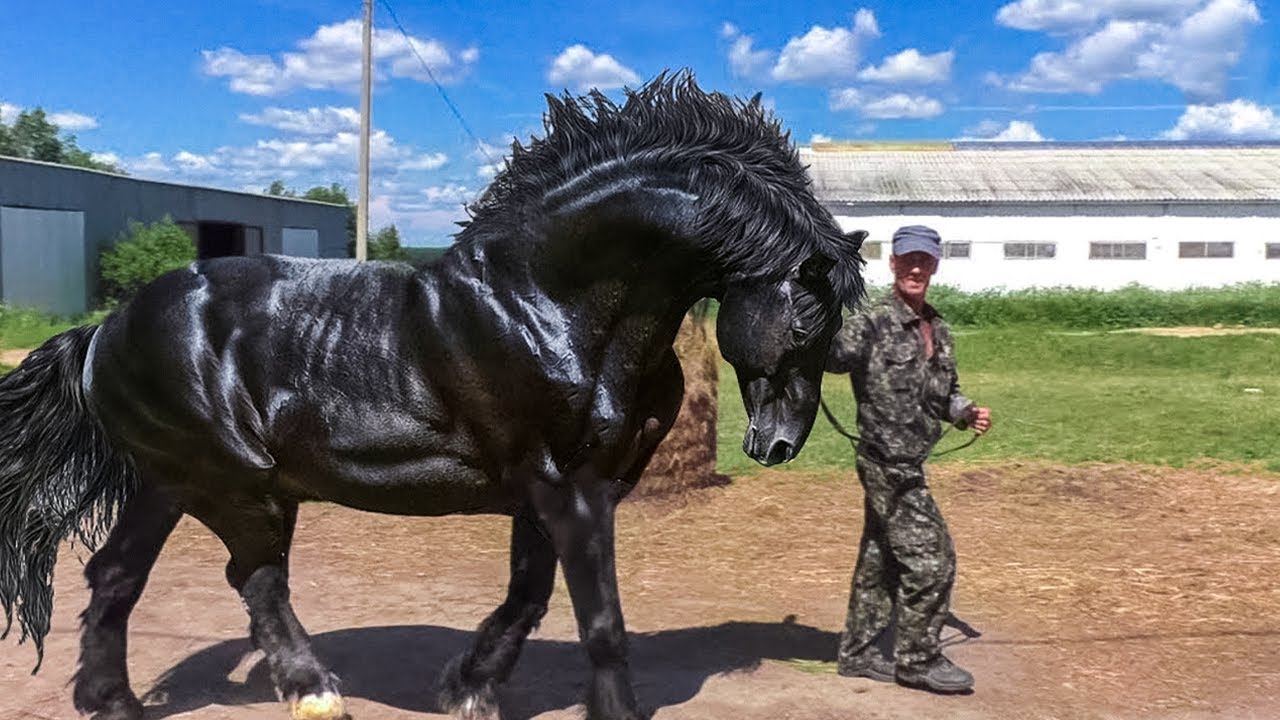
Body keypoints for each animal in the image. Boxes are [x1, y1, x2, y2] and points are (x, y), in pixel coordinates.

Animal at [0, 73, 865, 717]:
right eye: (806, 321)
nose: (778, 444)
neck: (548, 305)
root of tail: (105, 330)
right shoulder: (568, 488)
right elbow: (601, 622)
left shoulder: (553, 494)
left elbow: (528, 597)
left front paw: (467, 686)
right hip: (234, 485)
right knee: (255, 580)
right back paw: (313, 692)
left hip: (168, 482)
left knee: (116, 577)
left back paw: (112, 701)